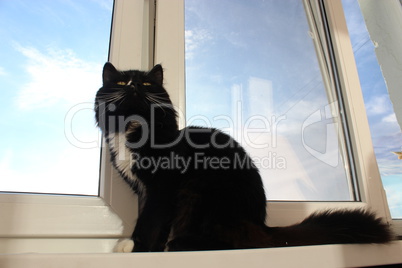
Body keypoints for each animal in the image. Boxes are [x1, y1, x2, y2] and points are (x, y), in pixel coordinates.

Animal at [96, 62, 394, 251]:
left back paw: (181, 244)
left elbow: (150, 221)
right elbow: (149, 219)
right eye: (122, 82)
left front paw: (138, 248)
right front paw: (141, 246)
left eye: (147, 83)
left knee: (234, 242)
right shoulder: (145, 190)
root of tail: (261, 223)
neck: (134, 129)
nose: (135, 85)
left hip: (202, 193)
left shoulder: (163, 188)